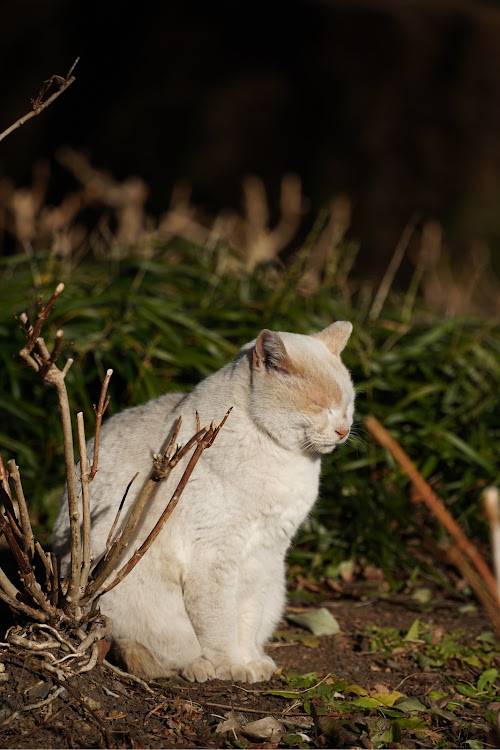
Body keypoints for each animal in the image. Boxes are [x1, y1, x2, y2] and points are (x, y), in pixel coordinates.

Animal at [52, 320, 354, 684]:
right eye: (320, 406)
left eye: (348, 406)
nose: (344, 430)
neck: (285, 461)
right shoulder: (216, 557)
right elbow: (219, 626)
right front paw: (233, 667)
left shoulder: (267, 556)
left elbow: (248, 621)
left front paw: (251, 662)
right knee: (159, 650)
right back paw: (199, 667)